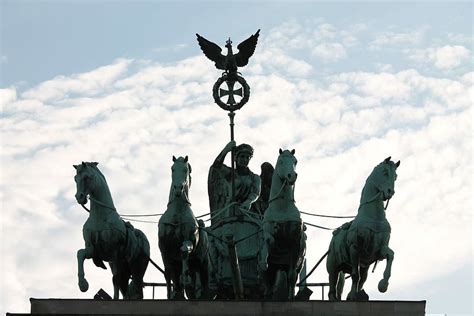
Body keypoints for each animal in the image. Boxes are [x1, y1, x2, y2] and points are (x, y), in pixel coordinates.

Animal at [73, 162, 150, 300]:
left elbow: (116, 280)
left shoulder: (116, 253)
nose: (79, 197)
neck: (101, 217)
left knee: (132, 285)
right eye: (75, 178)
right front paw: (83, 284)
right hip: (124, 267)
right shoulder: (93, 250)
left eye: (86, 177)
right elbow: (80, 253)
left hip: (137, 268)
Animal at [158, 157, 212, 300]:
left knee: (204, 285)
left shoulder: (189, 240)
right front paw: (173, 293)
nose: (178, 188)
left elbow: (183, 250)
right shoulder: (165, 250)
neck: (176, 215)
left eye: (185, 169)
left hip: (203, 264)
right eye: (172, 168)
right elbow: (169, 274)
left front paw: (185, 278)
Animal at [260, 149, 308, 300]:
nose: (292, 176)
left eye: (295, 161)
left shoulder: (295, 242)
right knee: (268, 282)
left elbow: (292, 277)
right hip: (273, 268)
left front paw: (290, 298)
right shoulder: (268, 231)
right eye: (281, 161)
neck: (282, 207)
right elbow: (269, 239)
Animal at [328, 157, 402, 300]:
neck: (374, 217)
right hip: (333, 265)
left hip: (364, 266)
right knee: (332, 285)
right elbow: (355, 275)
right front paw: (352, 295)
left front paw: (383, 284)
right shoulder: (355, 248)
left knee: (362, 279)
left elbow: (390, 255)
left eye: (395, 176)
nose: (390, 192)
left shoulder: (379, 250)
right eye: (385, 172)